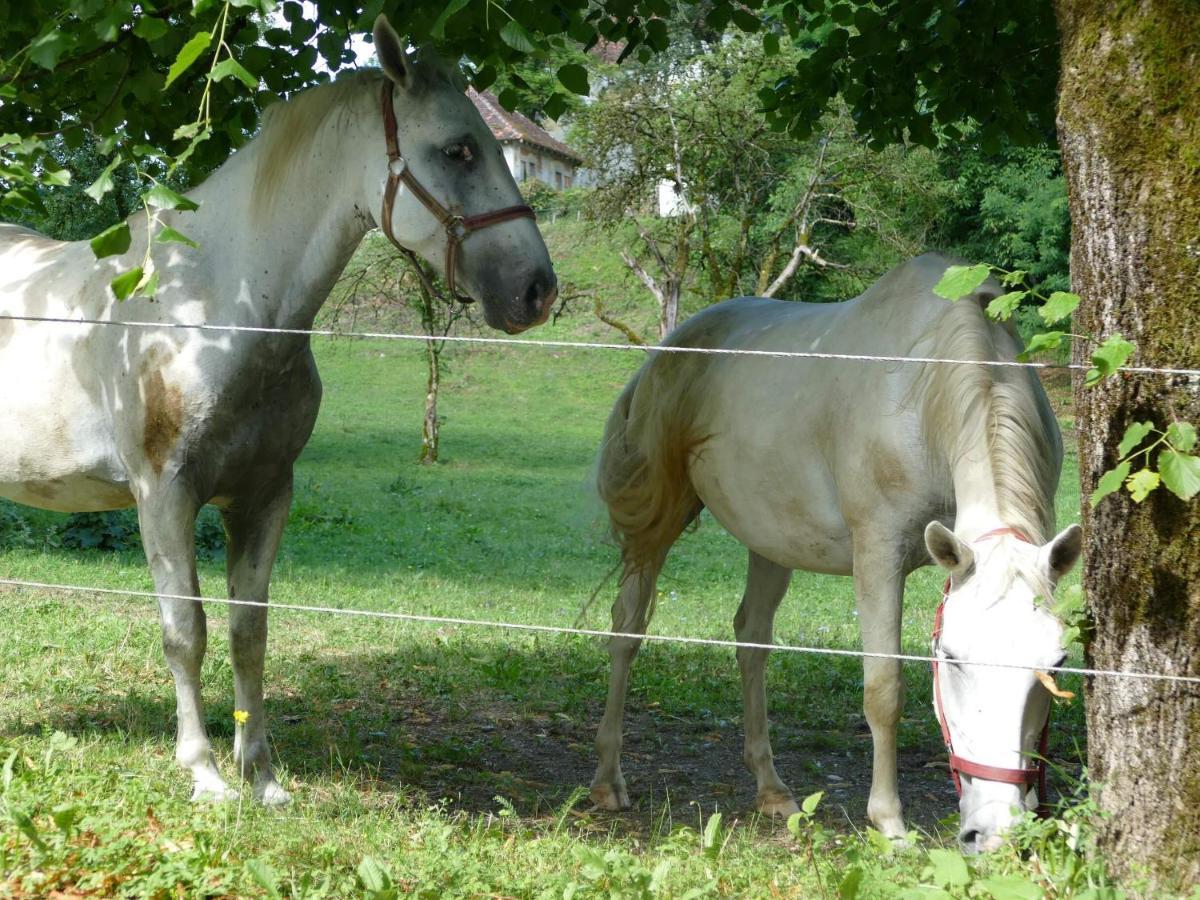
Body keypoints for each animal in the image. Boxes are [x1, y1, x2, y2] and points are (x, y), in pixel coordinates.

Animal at [0, 15, 554, 801]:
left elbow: (248, 632)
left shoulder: (264, 495)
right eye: (458, 148)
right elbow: (185, 631)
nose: (537, 289)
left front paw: (259, 774)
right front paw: (203, 772)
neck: (212, 305)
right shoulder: (163, 495)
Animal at [595, 254, 1084, 854]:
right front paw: (890, 823)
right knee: (627, 628)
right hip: (656, 525)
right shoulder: (877, 555)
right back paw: (608, 778)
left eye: (1057, 663)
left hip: (770, 539)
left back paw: (772, 790)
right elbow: (884, 689)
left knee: (751, 640)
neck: (924, 388)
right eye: (950, 657)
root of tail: (669, 348)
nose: (995, 832)